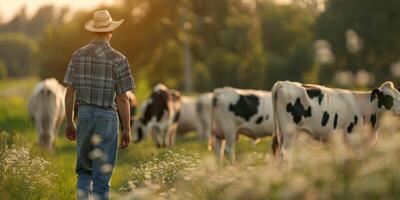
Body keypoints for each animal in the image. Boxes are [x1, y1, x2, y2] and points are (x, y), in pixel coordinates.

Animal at [270, 80, 400, 159]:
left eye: (399, 95)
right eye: (388, 98)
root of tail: (283, 83)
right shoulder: (353, 139)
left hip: (282, 134)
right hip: (289, 134)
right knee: (284, 155)